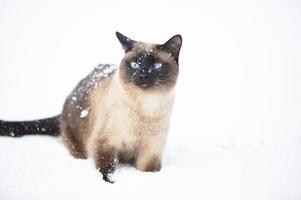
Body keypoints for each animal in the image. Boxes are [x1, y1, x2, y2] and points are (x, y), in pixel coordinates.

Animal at [0, 32, 180, 184]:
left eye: (156, 66)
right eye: (135, 64)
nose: (143, 75)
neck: (146, 107)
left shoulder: (150, 152)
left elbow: (149, 171)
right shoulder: (104, 143)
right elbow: (107, 169)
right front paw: (111, 183)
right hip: (78, 145)